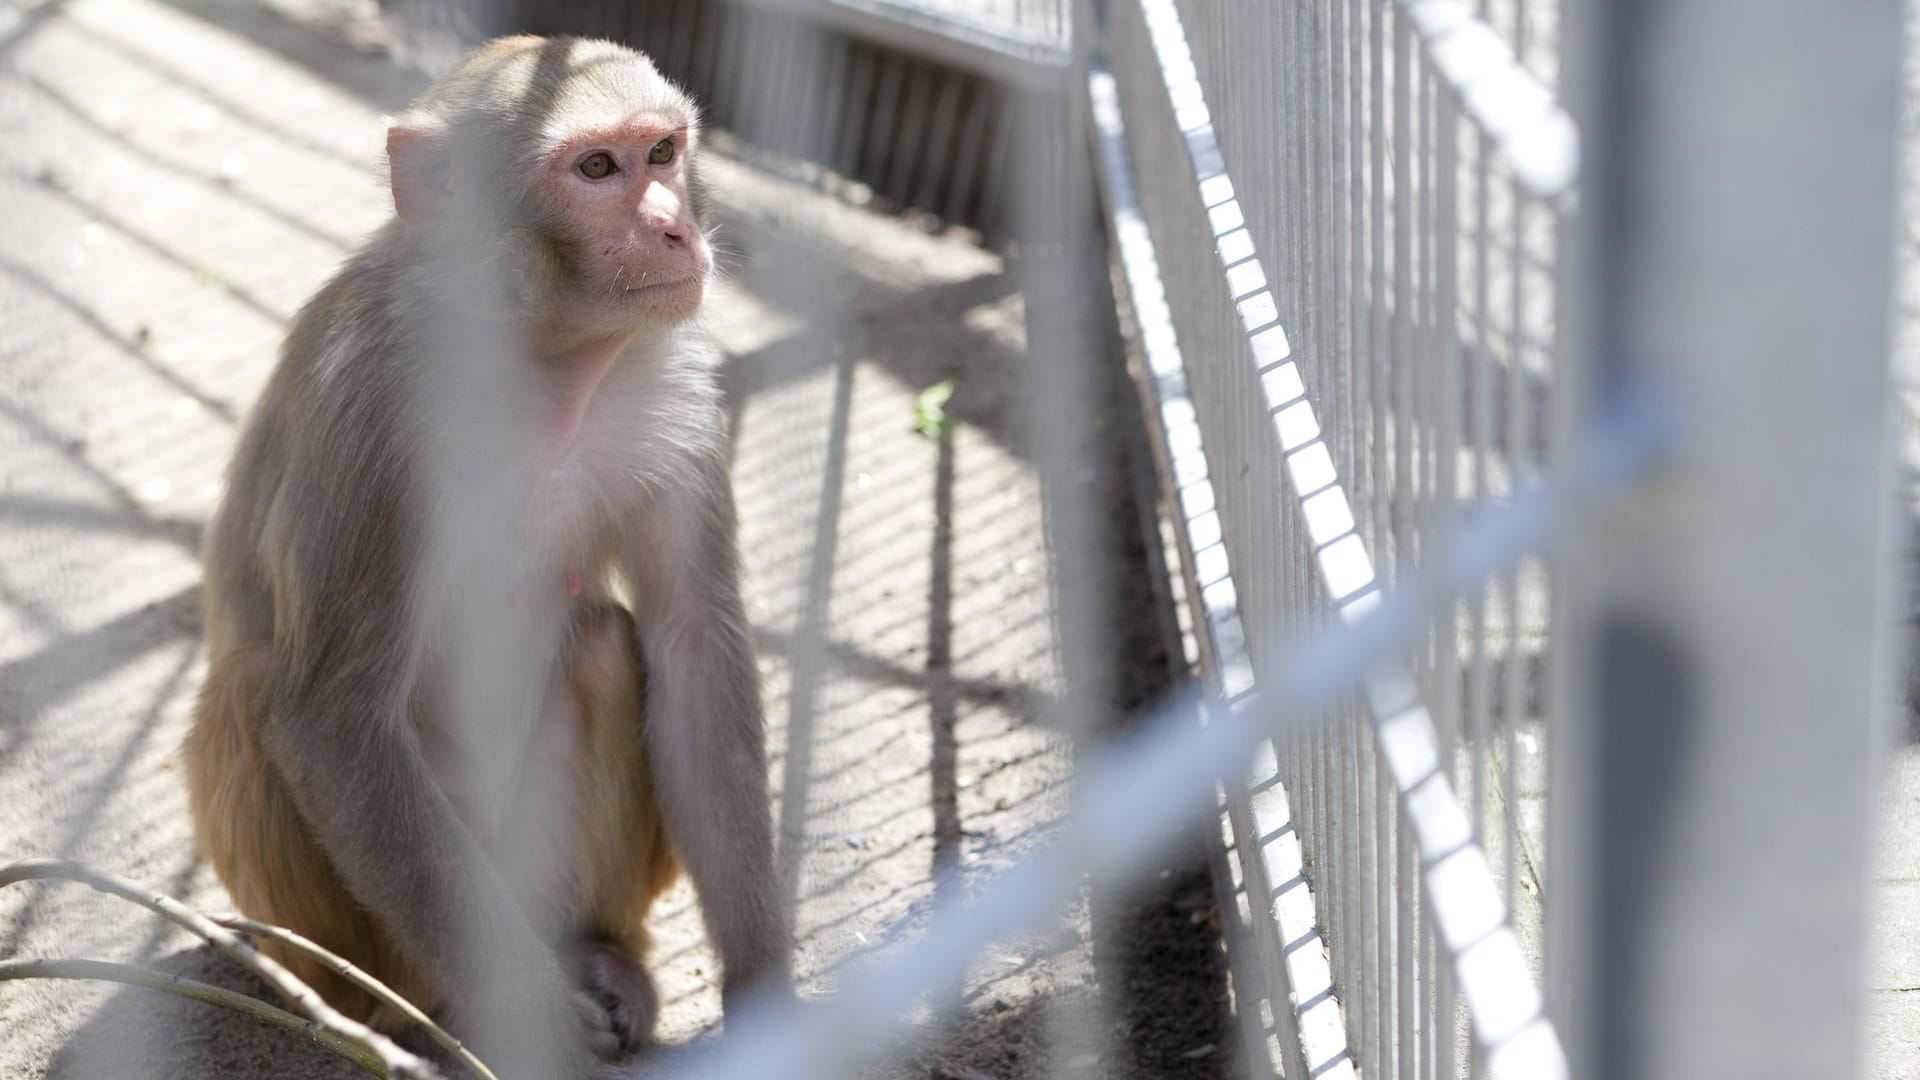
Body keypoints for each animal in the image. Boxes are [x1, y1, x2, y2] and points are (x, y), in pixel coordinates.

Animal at [187, 33, 787, 1068]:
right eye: (597, 170)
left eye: (662, 151)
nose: (675, 229)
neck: (534, 358)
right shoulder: (377, 399)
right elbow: (333, 719)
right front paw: (542, 1035)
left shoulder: (670, 381)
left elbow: (690, 642)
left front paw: (772, 1002)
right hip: (384, 935)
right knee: (254, 687)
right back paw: (438, 1014)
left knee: (603, 640)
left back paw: (599, 953)